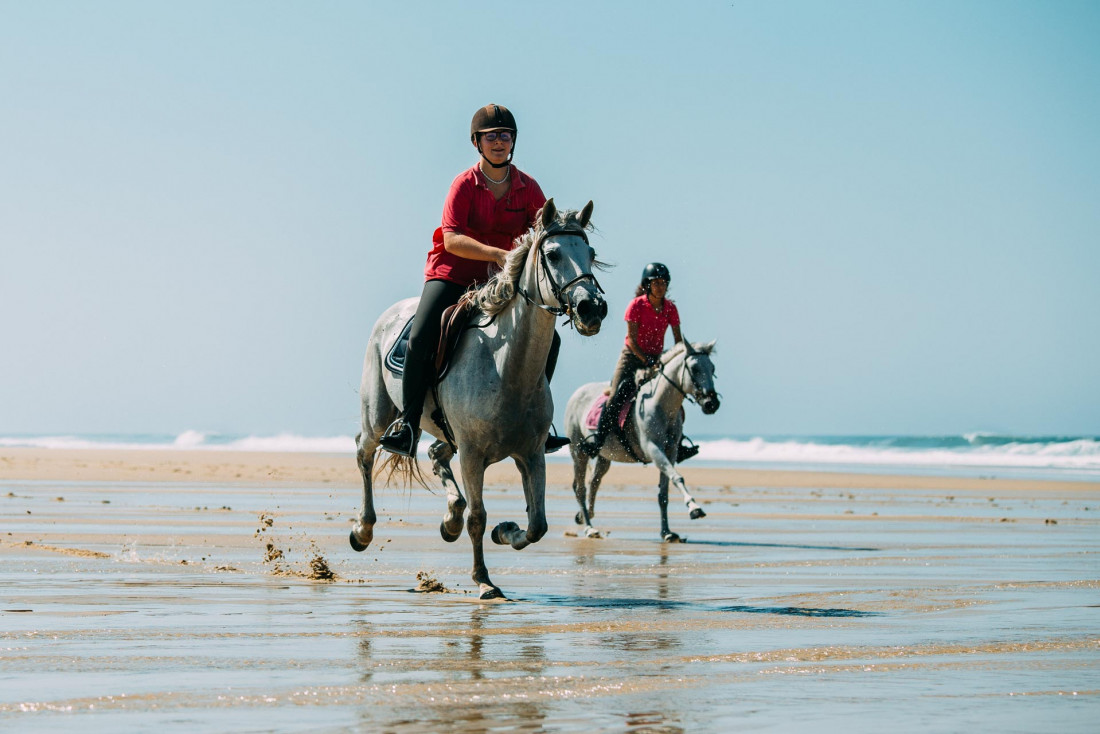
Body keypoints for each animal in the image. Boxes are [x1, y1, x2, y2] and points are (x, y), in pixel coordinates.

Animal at [352, 199, 607, 598]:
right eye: (552, 254)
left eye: (591, 253)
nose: (591, 308)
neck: (506, 367)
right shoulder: (472, 455)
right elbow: (478, 517)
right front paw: (484, 580)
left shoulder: (531, 454)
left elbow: (538, 524)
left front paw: (506, 532)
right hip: (377, 414)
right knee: (364, 452)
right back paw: (362, 530)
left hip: (445, 433)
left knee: (436, 453)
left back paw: (449, 520)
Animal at [567, 341, 721, 543]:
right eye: (695, 368)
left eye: (713, 368)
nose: (712, 403)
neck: (660, 404)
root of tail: (577, 393)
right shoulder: (653, 449)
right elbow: (677, 477)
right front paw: (694, 508)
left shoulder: (670, 451)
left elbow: (664, 493)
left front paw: (667, 532)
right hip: (578, 452)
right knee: (580, 488)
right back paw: (589, 528)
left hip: (604, 456)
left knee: (594, 481)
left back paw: (586, 516)